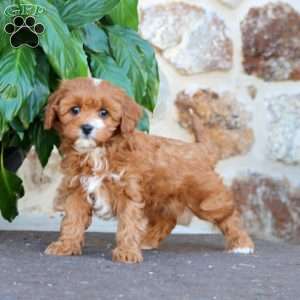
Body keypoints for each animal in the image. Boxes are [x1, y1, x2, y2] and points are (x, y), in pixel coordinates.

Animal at [44, 77, 254, 262]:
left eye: (104, 113)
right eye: (75, 110)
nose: (87, 128)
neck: (99, 151)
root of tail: (200, 149)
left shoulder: (129, 191)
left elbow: (129, 223)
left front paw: (127, 253)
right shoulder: (77, 189)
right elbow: (73, 219)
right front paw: (66, 246)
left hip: (204, 198)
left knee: (229, 215)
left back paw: (242, 244)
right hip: (159, 197)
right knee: (167, 220)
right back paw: (147, 241)